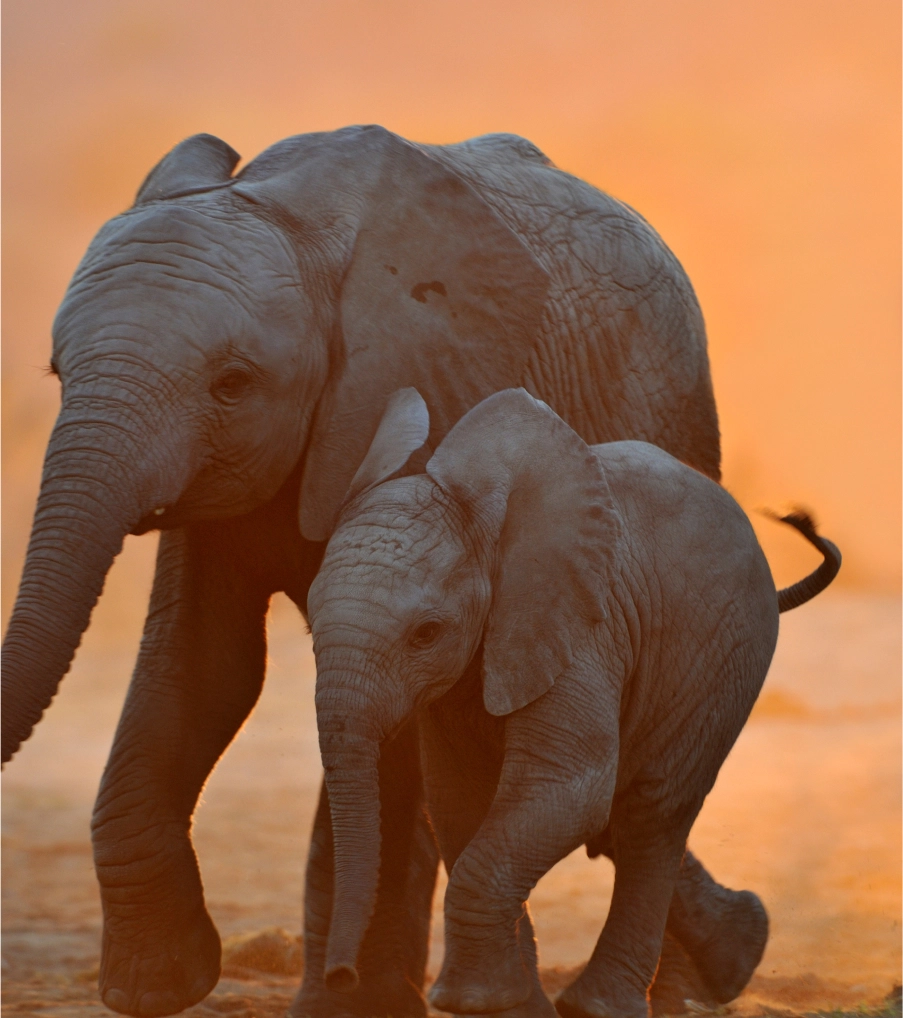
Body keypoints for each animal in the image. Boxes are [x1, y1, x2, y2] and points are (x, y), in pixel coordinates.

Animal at [2, 124, 769, 1018]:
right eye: (59, 374)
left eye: (232, 383)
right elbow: (202, 665)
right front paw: (157, 983)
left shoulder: (437, 381)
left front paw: (340, 999)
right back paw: (724, 956)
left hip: (680, 426)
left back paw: (703, 974)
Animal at [306, 387, 841, 1018]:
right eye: (310, 623)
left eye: (426, 633)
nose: (342, 977)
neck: (489, 529)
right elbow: (460, 802)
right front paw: (506, 1003)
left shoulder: (582, 631)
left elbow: (566, 790)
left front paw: (470, 999)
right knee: (620, 823)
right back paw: (737, 953)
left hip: (725, 659)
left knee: (651, 815)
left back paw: (602, 1005)